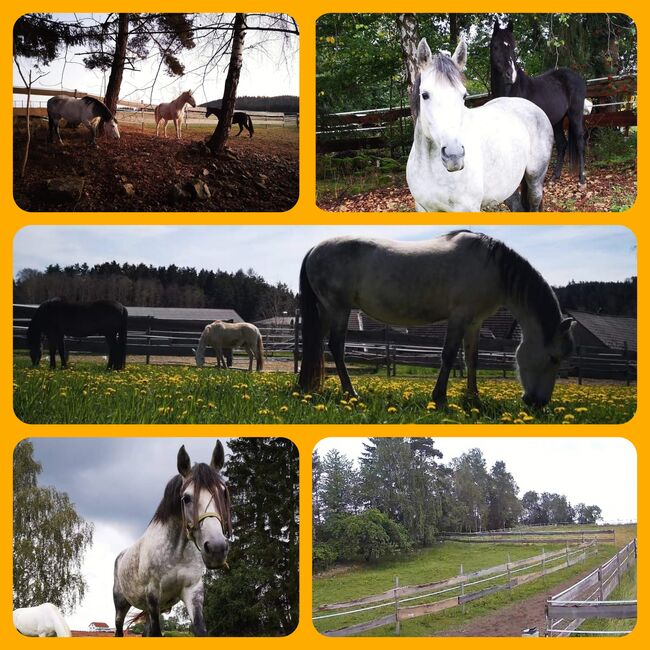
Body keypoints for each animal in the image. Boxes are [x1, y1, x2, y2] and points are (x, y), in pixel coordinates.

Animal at [114, 438, 230, 636]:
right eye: (186, 498)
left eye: (223, 493)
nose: (216, 549)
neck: (177, 552)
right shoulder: (153, 595)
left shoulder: (193, 591)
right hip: (121, 606)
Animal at [296, 230, 576, 408]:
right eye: (553, 358)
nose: (538, 403)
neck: (492, 267)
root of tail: (313, 250)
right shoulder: (459, 317)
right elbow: (449, 356)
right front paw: (439, 397)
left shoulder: (474, 321)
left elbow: (471, 359)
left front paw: (473, 398)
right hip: (339, 309)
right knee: (336, 347)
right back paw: (350, 393)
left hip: (326, 310)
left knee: (316, 344)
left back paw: (310, 387)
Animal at [486, 19, 588, 185]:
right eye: (495, 46)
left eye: (513, 47)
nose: (510, 75)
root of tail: (578, 77)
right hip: (557, 120)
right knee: (562, 144)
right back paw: (554, 178)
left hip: (575, 114)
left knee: (580, 141)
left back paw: (582, 180)